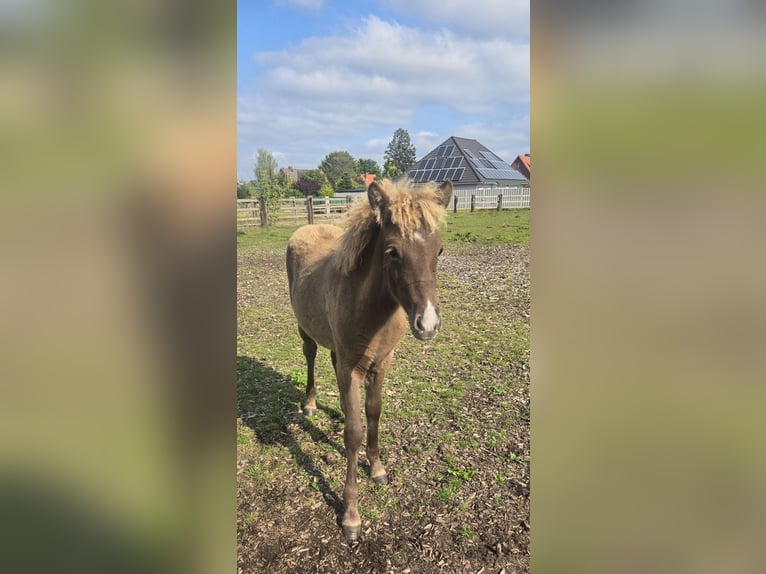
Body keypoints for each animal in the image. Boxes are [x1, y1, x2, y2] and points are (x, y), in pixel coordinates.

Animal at [286, 180, 452, 544]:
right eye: (392, 251)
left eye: (439, 250)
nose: (428, 324)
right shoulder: (352, 368)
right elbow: (353, 433)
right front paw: (351, 516)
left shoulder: (381, 363)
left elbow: (373, 413)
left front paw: (377, 468)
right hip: (306, 330)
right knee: (310, 355)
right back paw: (310, 404)